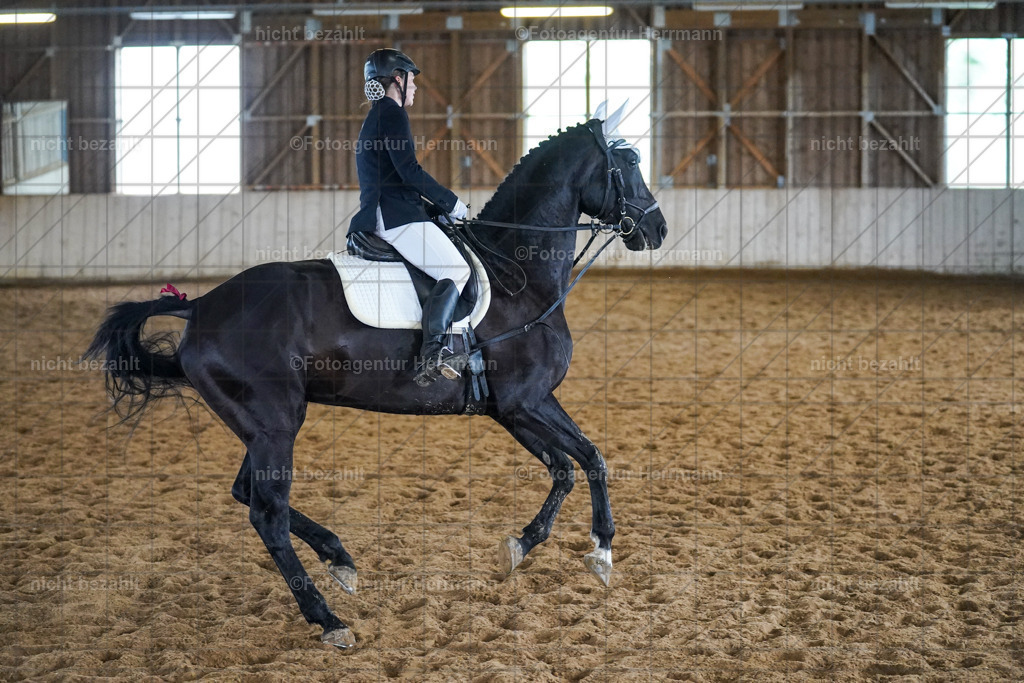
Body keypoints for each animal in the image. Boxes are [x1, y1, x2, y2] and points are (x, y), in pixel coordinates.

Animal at [85, 111, 668, 649]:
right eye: (630, 164)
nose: (657, 229)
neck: (517, 276)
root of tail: (202, 307)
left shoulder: (515, 407)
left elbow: (571, 464)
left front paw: (536, 546)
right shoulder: (524, 402)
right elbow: (585, 459)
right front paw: (596, 549)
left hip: (264, 425)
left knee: (246, 492)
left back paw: (339, 558)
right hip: (275, 426)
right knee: (266, 514)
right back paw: (328, 620)